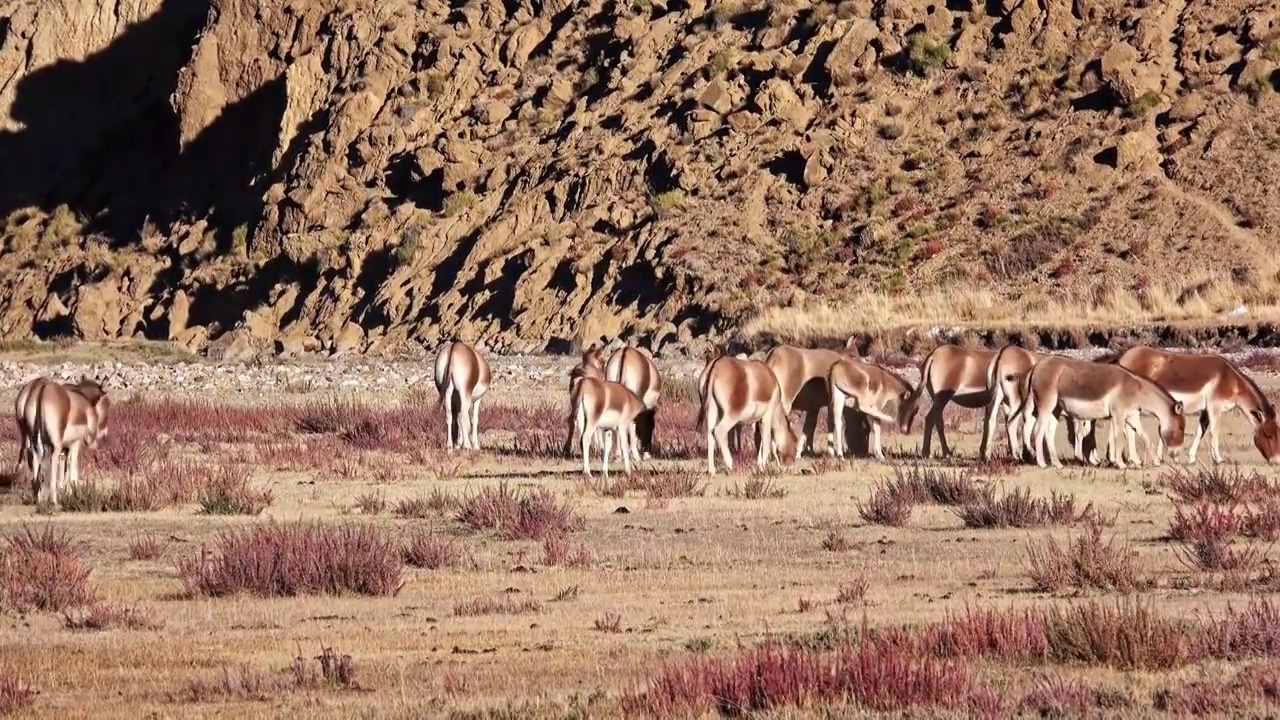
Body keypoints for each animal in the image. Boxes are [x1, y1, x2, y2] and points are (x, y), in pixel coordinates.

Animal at [1018, 356, 1187, 468]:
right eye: (1181, 428)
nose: (1177, 456)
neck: (1136, 388)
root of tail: (1037, 365)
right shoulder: (1118, 414)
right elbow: (1119, 437)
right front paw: (1120, 464)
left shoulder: (1132, 415)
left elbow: (1144, 436)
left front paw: (1153, 462)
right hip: (1046, 406)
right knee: (1038, 431)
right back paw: (1041, 463)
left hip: (1056, 409)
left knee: (1049, 433)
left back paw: (1057, 463)